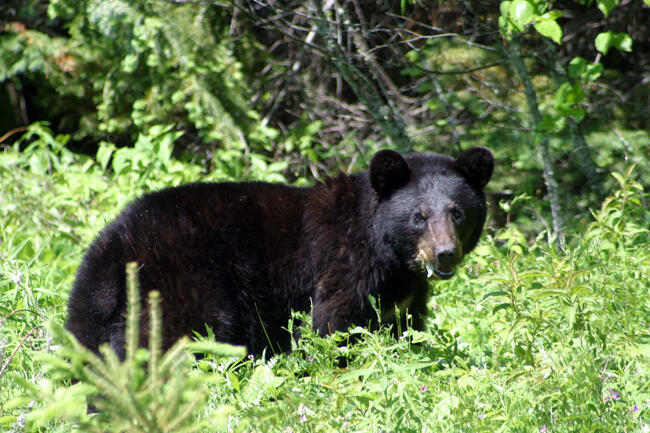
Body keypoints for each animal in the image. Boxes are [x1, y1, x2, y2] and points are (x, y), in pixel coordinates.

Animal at [66, 147, 492, 356]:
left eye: (457, 211)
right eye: (419, 215)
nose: (444, 253)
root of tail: (116, 246)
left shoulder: (403, 294)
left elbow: (406, 327)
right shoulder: (343, 267)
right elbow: (330, 327)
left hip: (94, 311)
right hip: (184, 284)